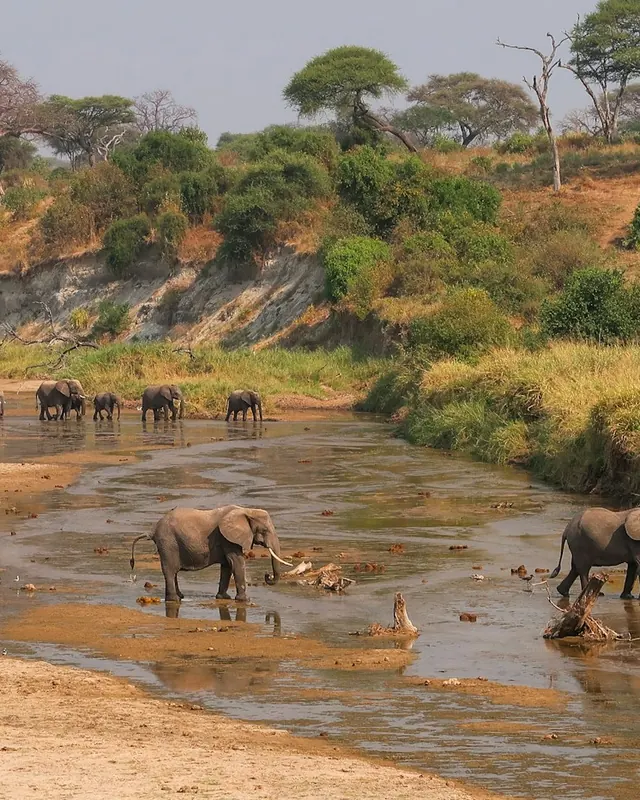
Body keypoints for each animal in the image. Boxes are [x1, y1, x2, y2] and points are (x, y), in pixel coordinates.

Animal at [129, 504, 291, 604]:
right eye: (264, 530)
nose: (267, 575)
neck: (246, 510)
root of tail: (152, 530)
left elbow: (227, 565)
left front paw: (224, 598)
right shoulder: (228, 538)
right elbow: (236, 562)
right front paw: (245, 600)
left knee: (173, 571)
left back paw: (180, 596)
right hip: (168, 543)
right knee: (169, 570)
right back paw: (174, 600)